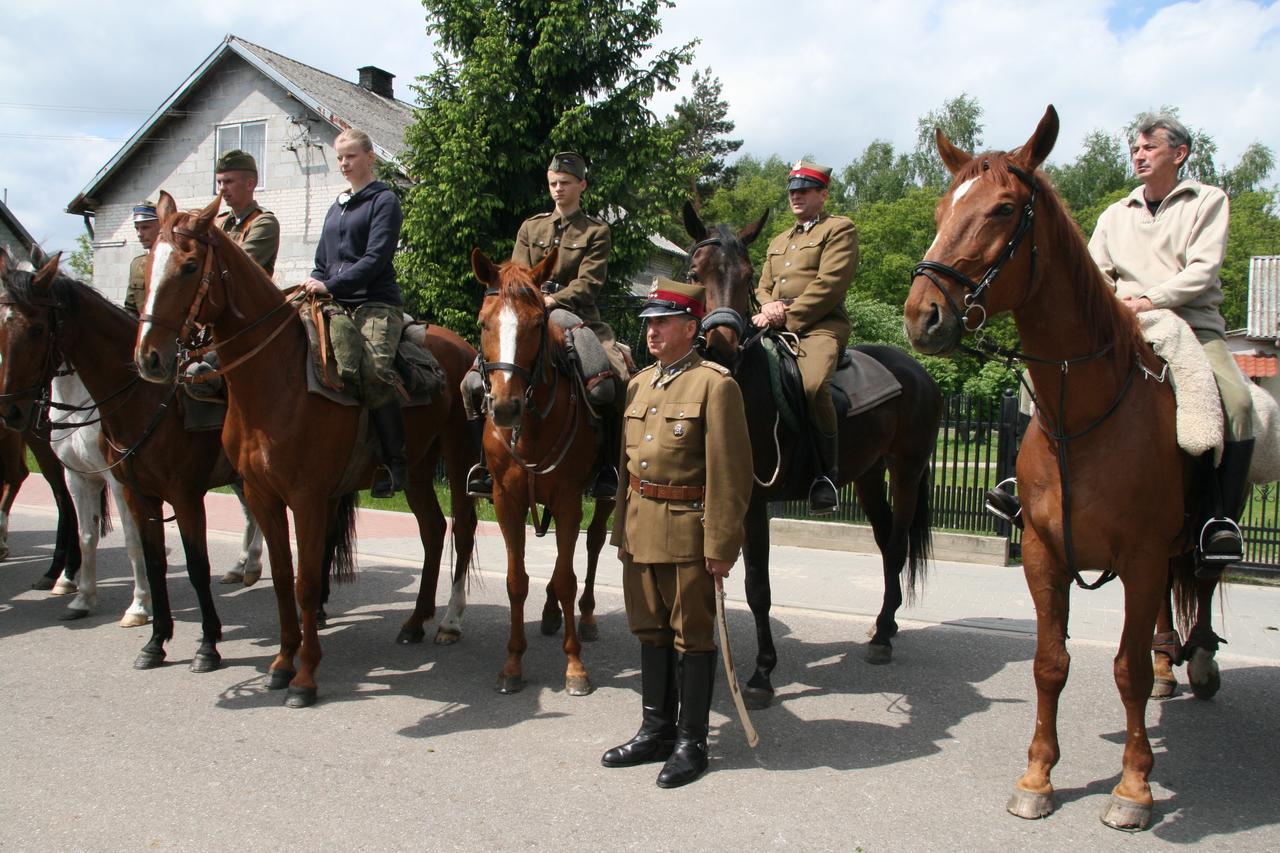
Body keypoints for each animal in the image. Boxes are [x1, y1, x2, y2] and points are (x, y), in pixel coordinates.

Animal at [137, 192, 481, 701]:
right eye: (147, 268)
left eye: (189, 265)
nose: (150, 358)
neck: (277, 381)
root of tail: (464, 348)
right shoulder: (262, 495)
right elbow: (283, 579)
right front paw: (282, 663)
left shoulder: (308, 498)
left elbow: (306, 580)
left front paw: (304, 677)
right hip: (417, 469)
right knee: (433, 531)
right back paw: (415, 621)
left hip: (457, 460)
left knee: (462, 529)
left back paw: (450, 622)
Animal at [473, 247, 616, 696]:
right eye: (483, 322)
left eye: (537, 324)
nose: (505, 407)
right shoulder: (507, 500)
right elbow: (517, 581)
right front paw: (512, 664)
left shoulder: (570, 500)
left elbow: (569, 576)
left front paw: (575, 667)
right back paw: (551, 613)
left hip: (604, 497)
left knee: (591, 548)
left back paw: (585, 618)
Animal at [686, 201, 947, 701]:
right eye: (695, 271)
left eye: (748, 275)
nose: (722, 346)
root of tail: (916, 370)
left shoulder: (753, 504)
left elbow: (757, 586)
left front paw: (762, 673)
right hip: (869, 476)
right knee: (885, 541)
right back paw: (886, 625)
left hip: (907, 471)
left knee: (898, 545)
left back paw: (883, 637)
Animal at [896, 103, 1203, 824]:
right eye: (940, 209)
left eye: (1004, 209)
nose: (922, 315)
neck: (1082, 416)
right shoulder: (1043, 550)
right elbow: (1048, 663)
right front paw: (1038, 775)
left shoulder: (1143, 556)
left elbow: (1126, 670)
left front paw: (1133, 786)